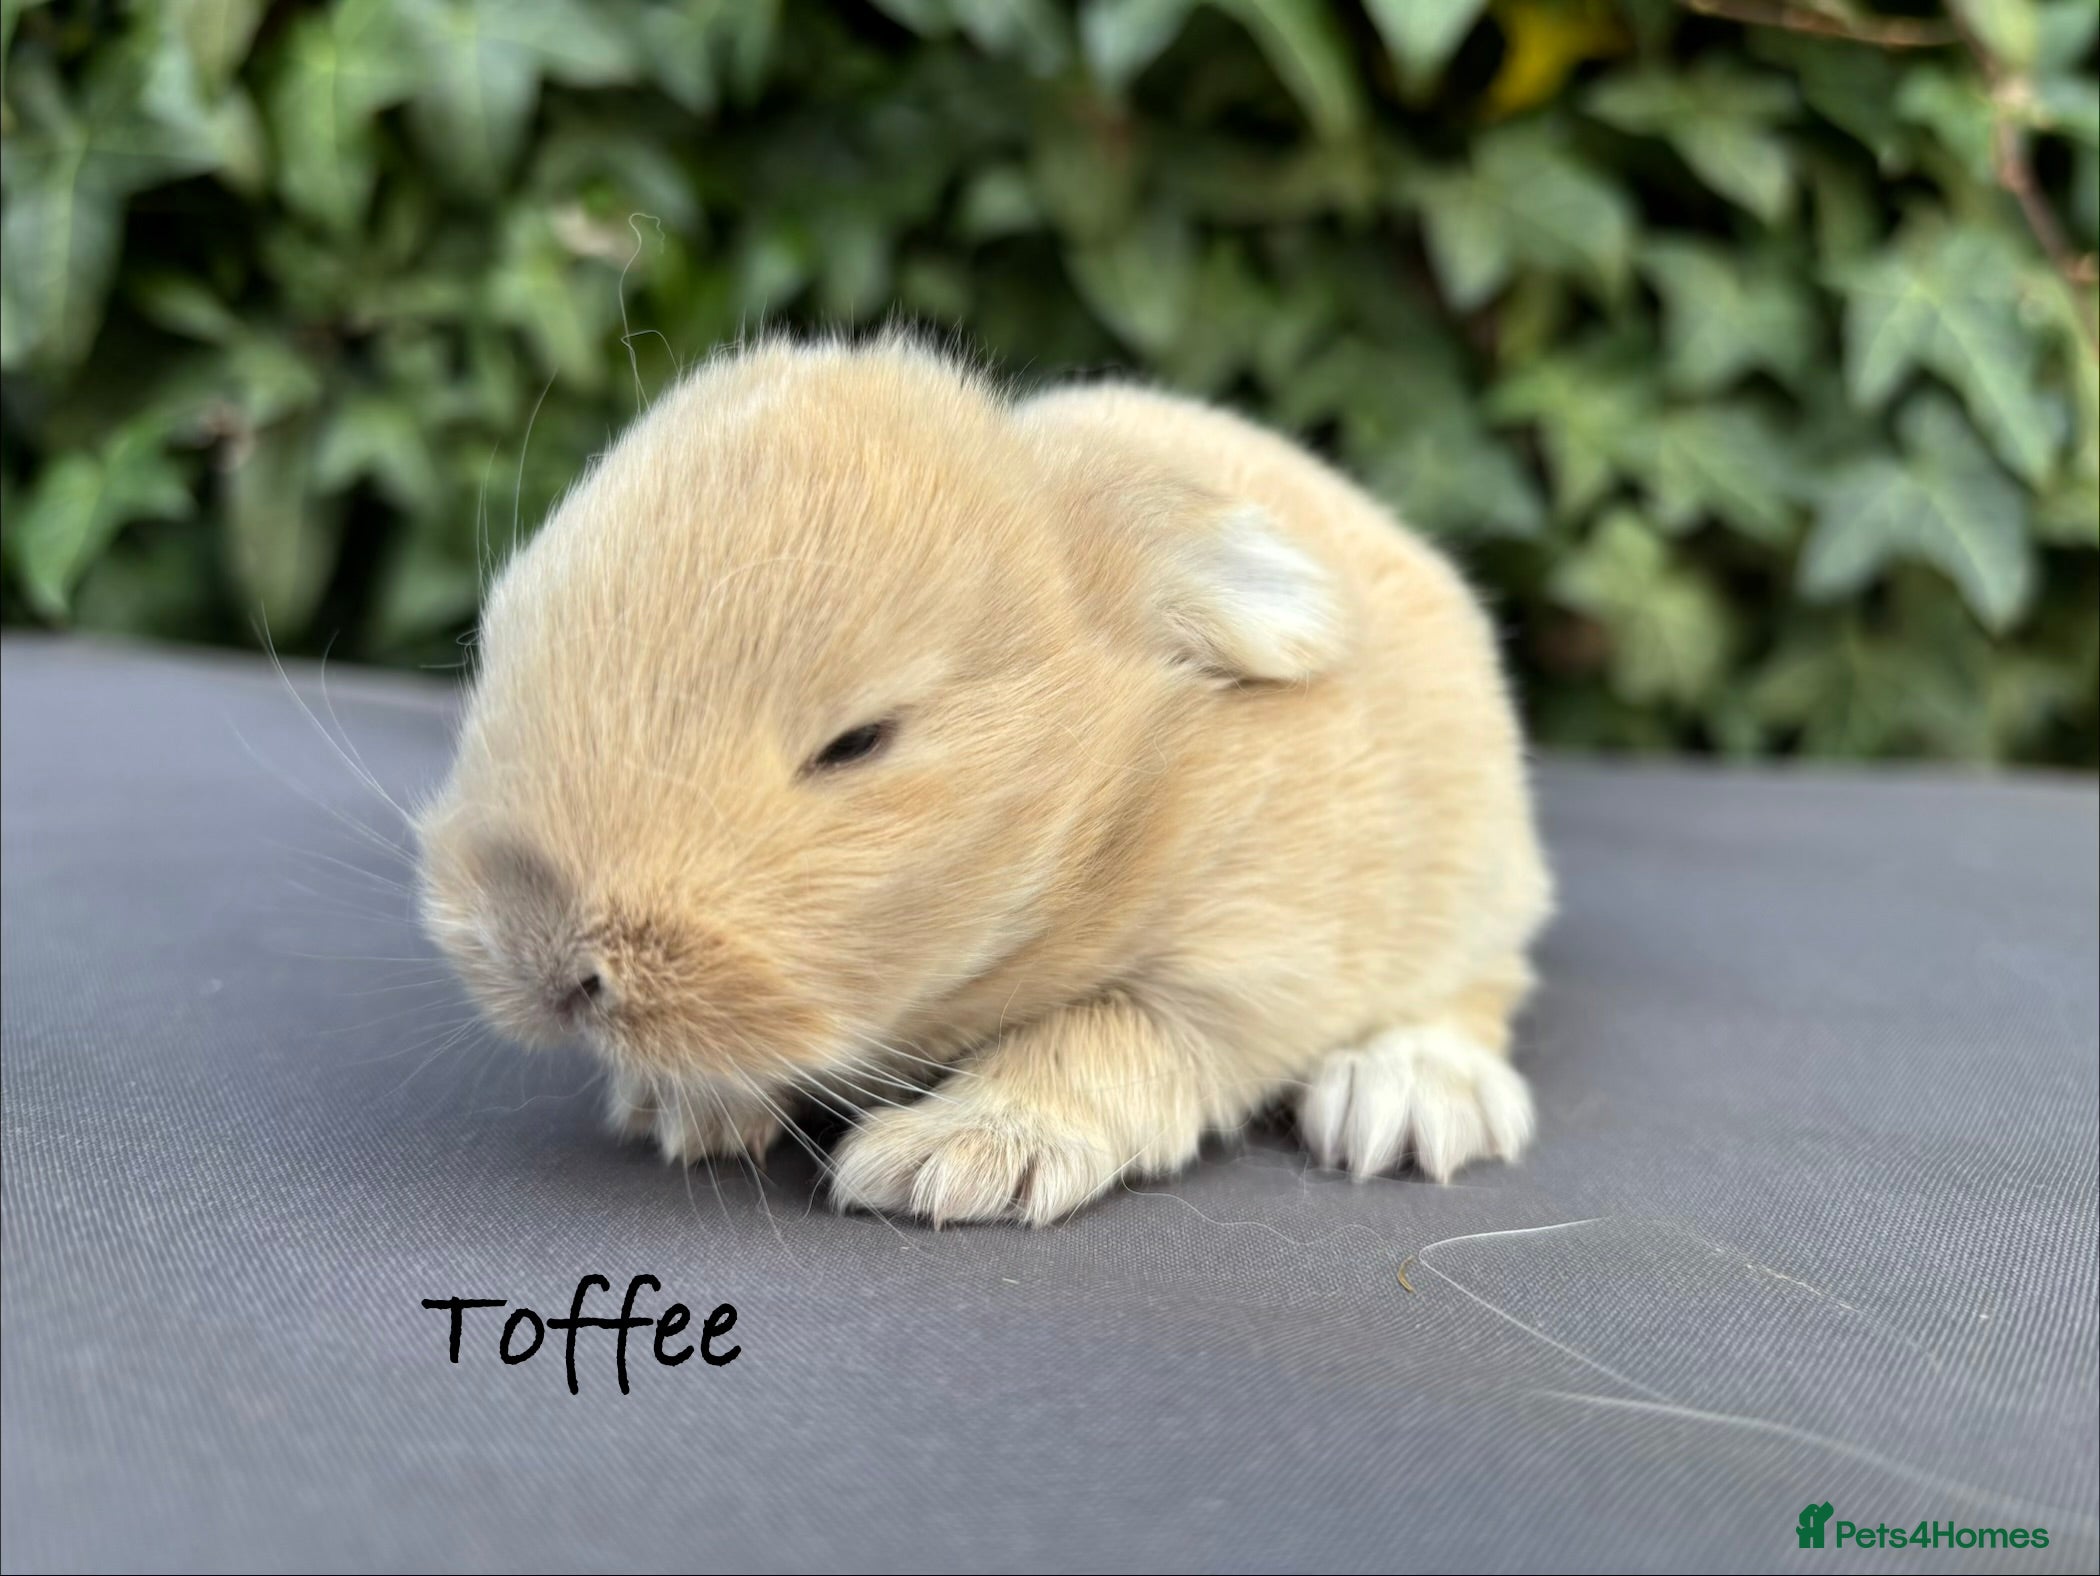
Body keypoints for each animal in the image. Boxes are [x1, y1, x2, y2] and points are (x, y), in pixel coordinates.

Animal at [414, 332, 1554, 1226]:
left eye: (858, 742)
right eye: (501, 639)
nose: (543, 960)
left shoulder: (1240, 964)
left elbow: (1091, 1039)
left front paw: (945, 1162)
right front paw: (685, 1108)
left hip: (1473, 888)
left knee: (1475, 991)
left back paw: (1407, 1099)